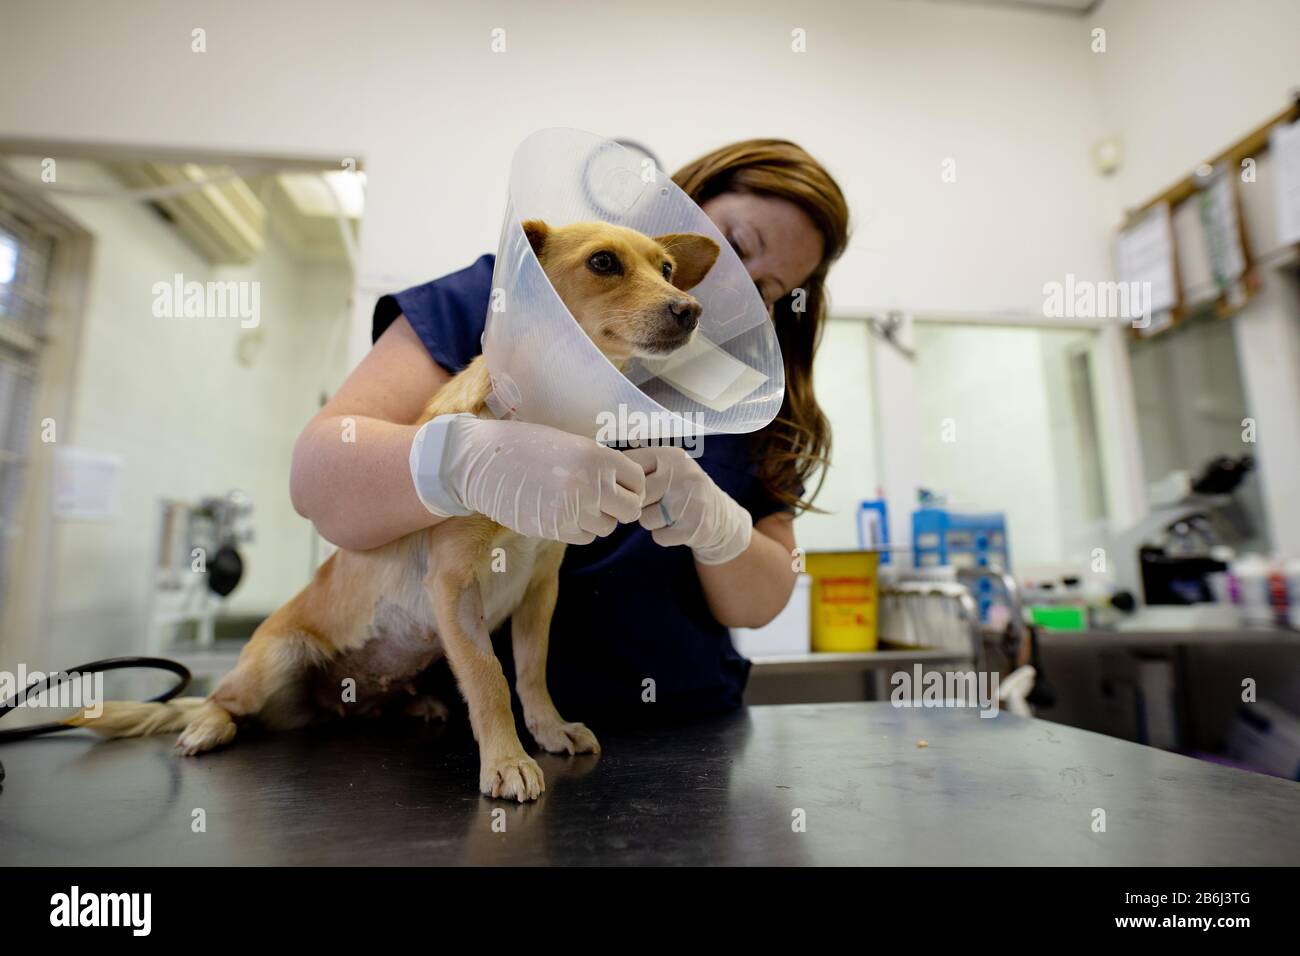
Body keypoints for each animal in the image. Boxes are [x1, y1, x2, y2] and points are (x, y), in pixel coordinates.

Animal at [68, 217, 722, 801]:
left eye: (667, 270)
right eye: (603, 262)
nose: (690, 309)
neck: (544, 421)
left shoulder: (540, 587)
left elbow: (530, 672)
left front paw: (548, 729)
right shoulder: (454, 585)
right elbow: (488, 678)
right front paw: (507, 761)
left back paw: (416, 705)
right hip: (272, 661)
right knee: (220, 700)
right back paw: (207, 724)